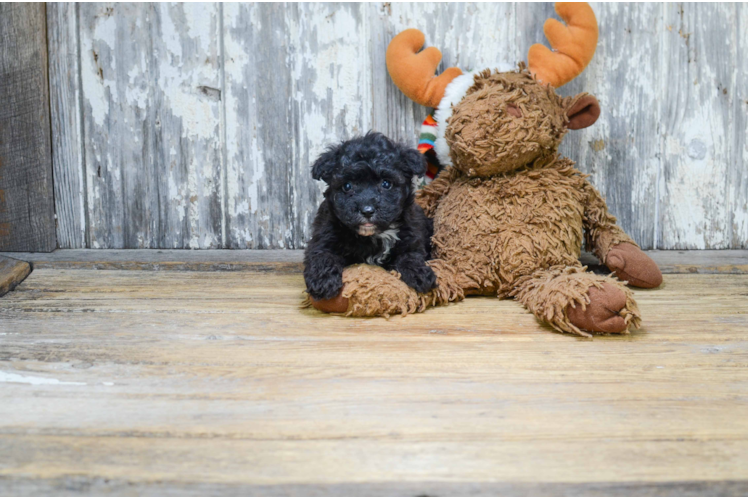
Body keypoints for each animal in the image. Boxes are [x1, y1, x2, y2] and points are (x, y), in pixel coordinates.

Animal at [304, 131, 438, 300]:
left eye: (386, 184)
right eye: (347, 186)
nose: (367, 211)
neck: (374, 235)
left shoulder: (411, 236)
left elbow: (410, 256)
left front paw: (419, 273)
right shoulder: (323, 237)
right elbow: (322, 255)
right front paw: (323, 281)